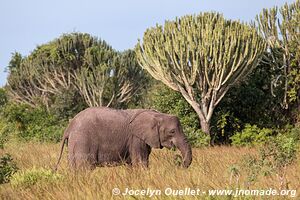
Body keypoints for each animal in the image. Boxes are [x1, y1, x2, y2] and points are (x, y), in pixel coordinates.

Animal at [54, 107, 192, 170]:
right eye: (172, 131)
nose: (177, 162)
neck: (156, 114)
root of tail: (69, 126)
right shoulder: (136, 138)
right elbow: (140, 162)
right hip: (83, 141)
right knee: (85, 168)